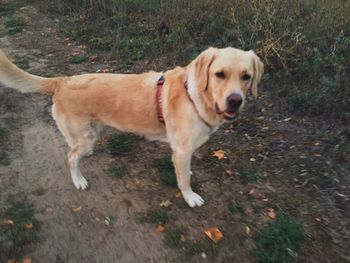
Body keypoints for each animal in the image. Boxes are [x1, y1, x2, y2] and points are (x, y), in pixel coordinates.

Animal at [0, 47, 262, 208]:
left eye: (246, 76)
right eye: (220, 74)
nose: (235, 100)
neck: (195, 96)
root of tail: (63, 80)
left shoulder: (184, 152)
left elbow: (184, 172)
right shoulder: (181, 150)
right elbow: (183, 181)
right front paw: (190, 197)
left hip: (90, 132)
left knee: (71, 146)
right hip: (85, 137)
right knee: (71, 157)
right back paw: (78, 180)